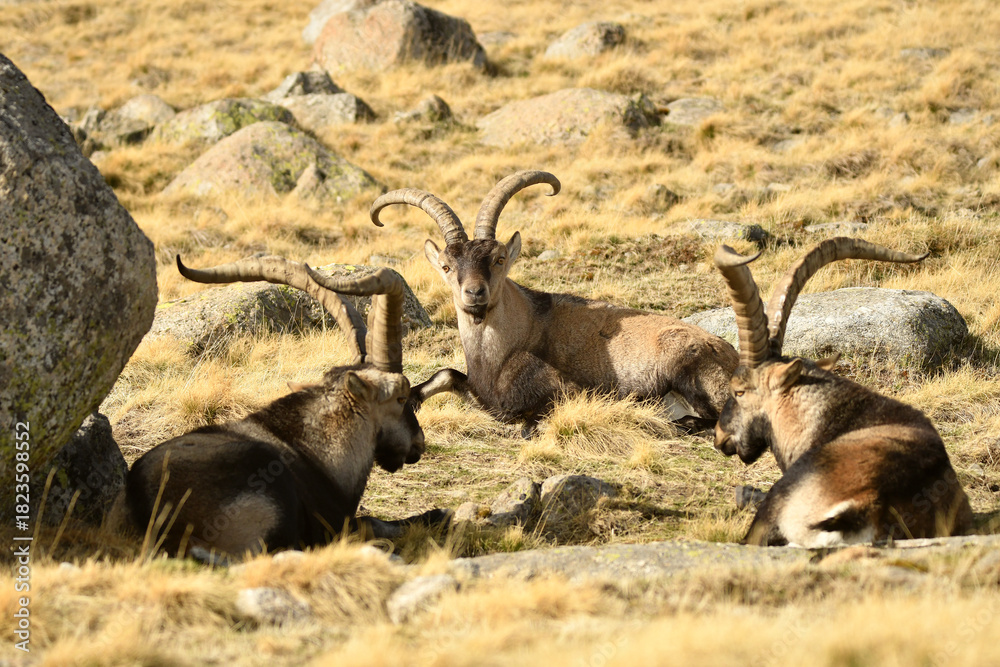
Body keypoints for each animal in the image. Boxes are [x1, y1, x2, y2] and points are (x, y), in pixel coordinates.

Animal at [125, 256, 451, 559]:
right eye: (400, 397)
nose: (418, 442)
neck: (318, 447)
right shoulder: (333, 524)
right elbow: (371, 521)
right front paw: (438, 514)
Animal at [366, 170, 740, 437]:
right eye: (446, 266)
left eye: (499, 259)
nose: (474, 293)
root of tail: (734, 358)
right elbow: (445, 374)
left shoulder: (569, 389)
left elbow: (528, 424)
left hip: (687, 367)